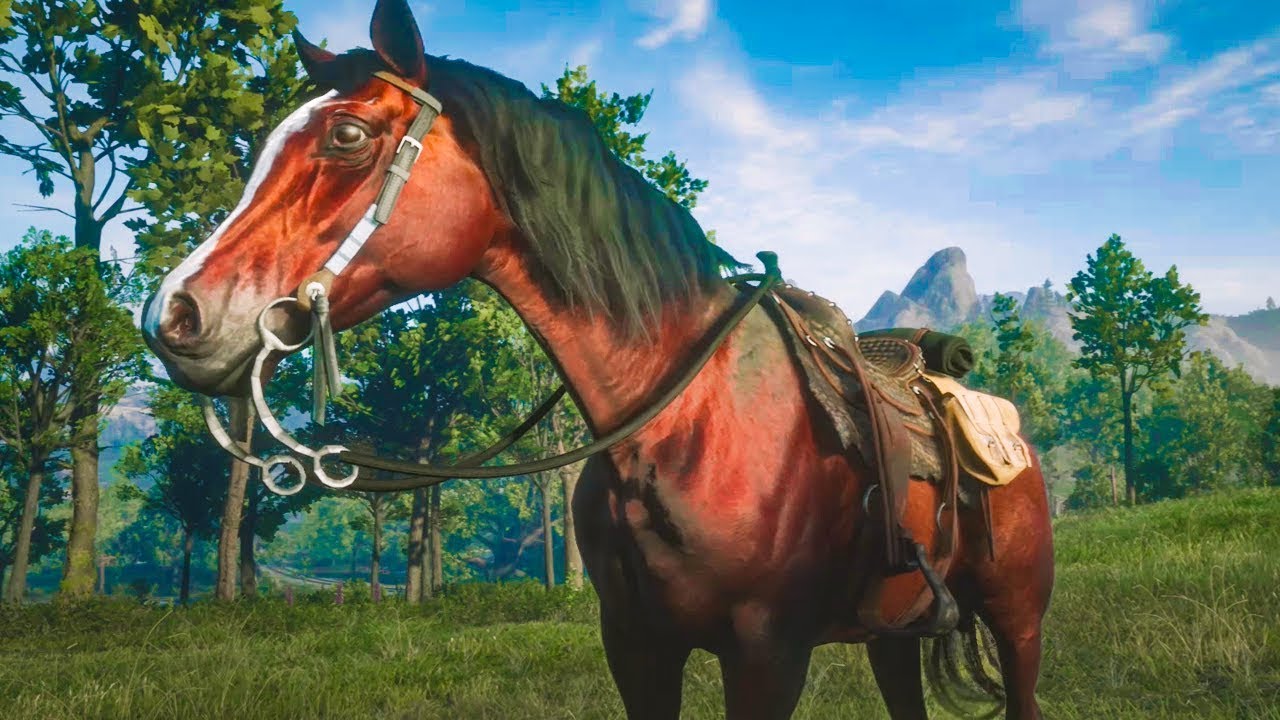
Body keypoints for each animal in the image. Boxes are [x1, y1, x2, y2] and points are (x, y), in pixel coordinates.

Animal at [141, 1, 1054, 717]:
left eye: (348, 134)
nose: (175, 315)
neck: (688, 427)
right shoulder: (638, 649)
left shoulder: (767, 656)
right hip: (893, 633)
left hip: (1017, 621)